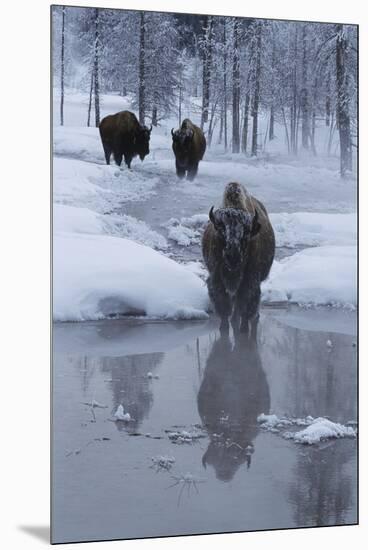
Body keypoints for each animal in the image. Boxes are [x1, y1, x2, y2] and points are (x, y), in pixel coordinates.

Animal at [203, 182, 274, 336]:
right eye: (221, 228)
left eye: (246, 231)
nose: (232, 256)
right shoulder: (217, 279)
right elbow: (224, 306)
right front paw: (224, 328)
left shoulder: (250, 280)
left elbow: (245, 306)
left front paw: (243, 330)